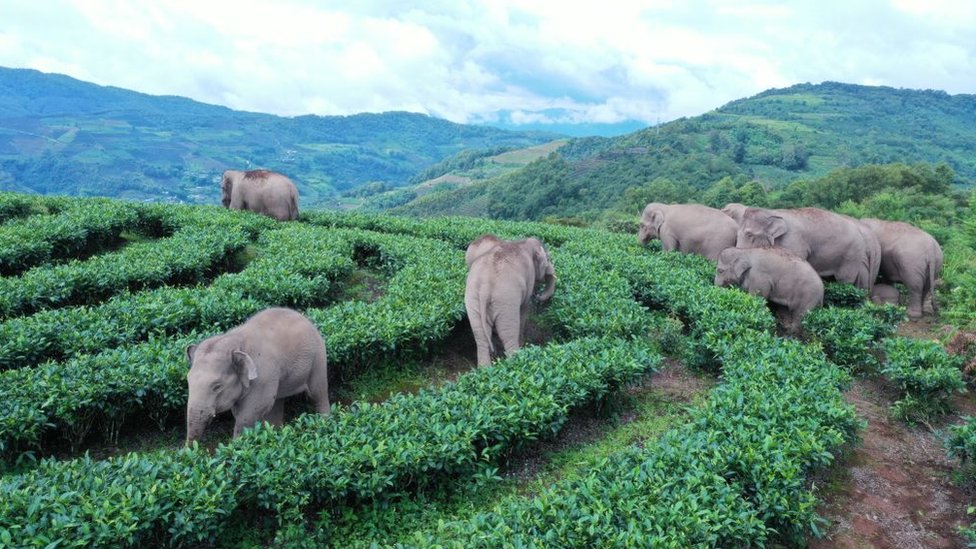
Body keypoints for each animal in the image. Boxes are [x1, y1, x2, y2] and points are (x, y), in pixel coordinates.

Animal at [185, 306, 330, 444]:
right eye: (188, 381)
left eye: (217, 386)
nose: (192, 449)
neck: (235, 341)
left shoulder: (263, 377)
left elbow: (249, 413)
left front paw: (237, 445)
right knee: (277, 401)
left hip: (318, 358)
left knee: (318, 393)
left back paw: (325, 422)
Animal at [468, 234, 556, 366]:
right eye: (548, 259)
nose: (539, 297)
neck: (523, 242)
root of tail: (485, 287)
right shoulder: (529, 276)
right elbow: (524, 308)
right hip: (505, 299)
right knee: (508, 334)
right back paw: (516, 360)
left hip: (472, 299)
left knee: (480, 336)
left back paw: (485, 368)